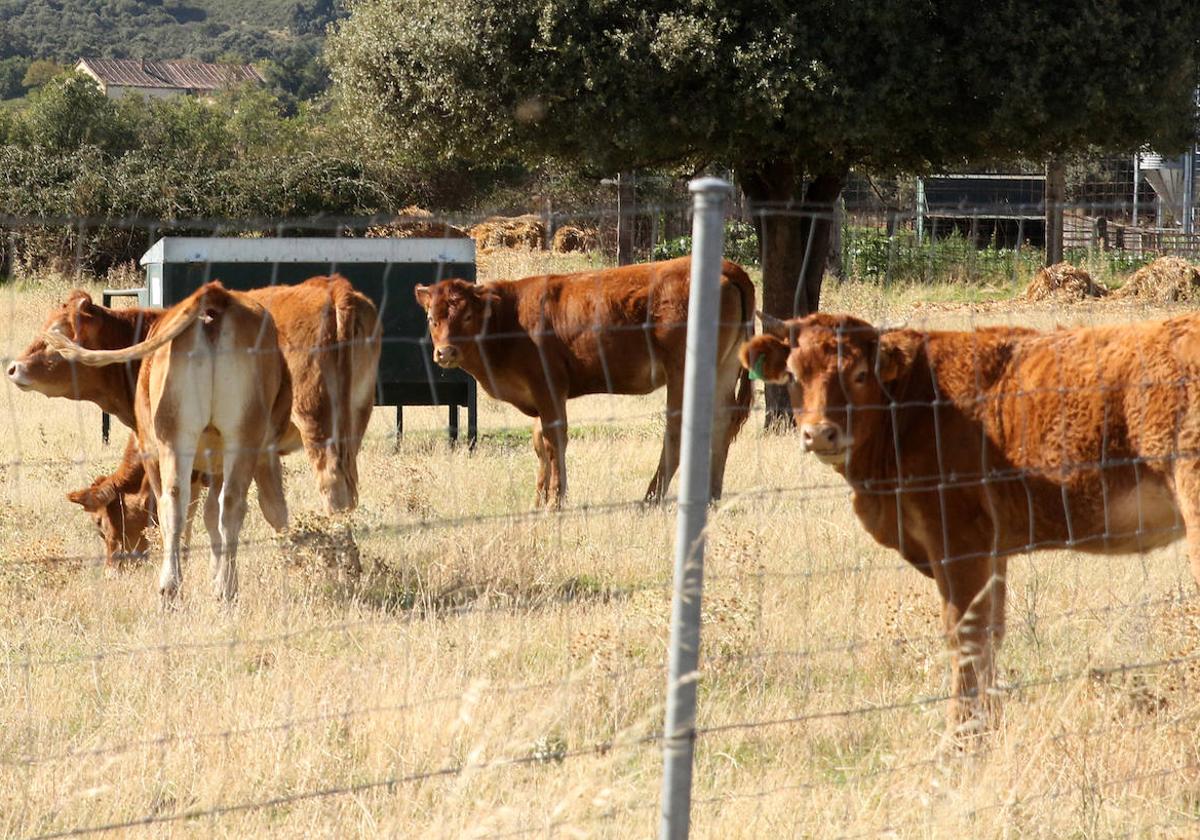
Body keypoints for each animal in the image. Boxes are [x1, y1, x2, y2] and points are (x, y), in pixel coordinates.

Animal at [47, 280, 295, 597]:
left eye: (100, 525)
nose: (112, 571)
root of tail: (216, 297)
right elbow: (220, 514)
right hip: (238, 438)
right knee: (230, 505)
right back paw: (225, 589)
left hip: (173, 442)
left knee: (172, 505)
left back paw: (170, 587)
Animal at [412, 255, 748, 506]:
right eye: (431, 318)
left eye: (467, 317)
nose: (445, 352)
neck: (508, 320)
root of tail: (729, 267)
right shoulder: (541, 397)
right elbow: (540, 443)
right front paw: (538, 501)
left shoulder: (548, 386)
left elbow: (555, 440)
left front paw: (554, 502)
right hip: (725, 367)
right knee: (721, 425)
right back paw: (712, 496)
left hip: (683, 372)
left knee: (679, 432)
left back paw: (650, 499)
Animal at [744, 309, 1200, 734]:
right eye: (793, 374)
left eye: (859, 374)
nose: (820, 433)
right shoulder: (992, 550)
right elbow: (991, 634)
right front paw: (988, 728)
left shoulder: (958, 540)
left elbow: (964, 634)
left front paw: (962, 736)